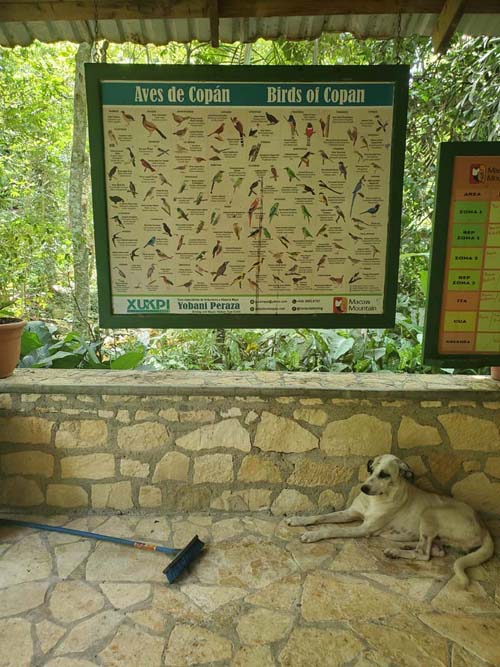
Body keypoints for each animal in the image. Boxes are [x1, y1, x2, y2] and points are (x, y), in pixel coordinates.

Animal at [288, 452, 494, 588]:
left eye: (385, 474)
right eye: (371, 470)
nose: (364, 488)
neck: (376, 498)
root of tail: (484, 527)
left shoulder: (364, 528)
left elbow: (332, 529)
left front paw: (312, 535)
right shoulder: (351, 512)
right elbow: (320, 516)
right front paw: (298, 519)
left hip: (430, 512)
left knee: (424, 554)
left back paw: (396, 551)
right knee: (435, 551)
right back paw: (403, 547)